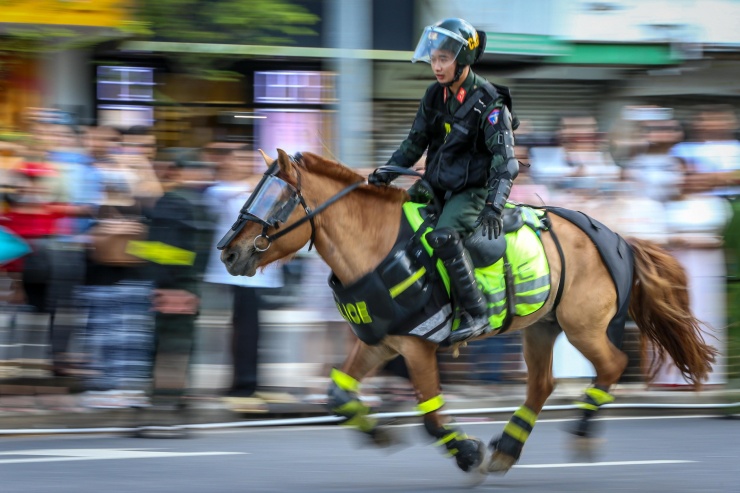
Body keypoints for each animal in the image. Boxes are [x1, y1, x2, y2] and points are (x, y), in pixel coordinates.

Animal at [217, 149, 712, 476]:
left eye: (274, 199)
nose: (228, 252)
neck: (378, 246)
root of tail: (616, 235)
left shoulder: (416, 346)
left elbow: (432, 417)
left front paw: (468, 452)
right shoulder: (380, 342)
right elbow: (338, 395)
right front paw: (378, 433)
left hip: (584, 327)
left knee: (613, 365)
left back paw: (581, 433)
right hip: (542, 327)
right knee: (542, 384)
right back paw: (509, 447)